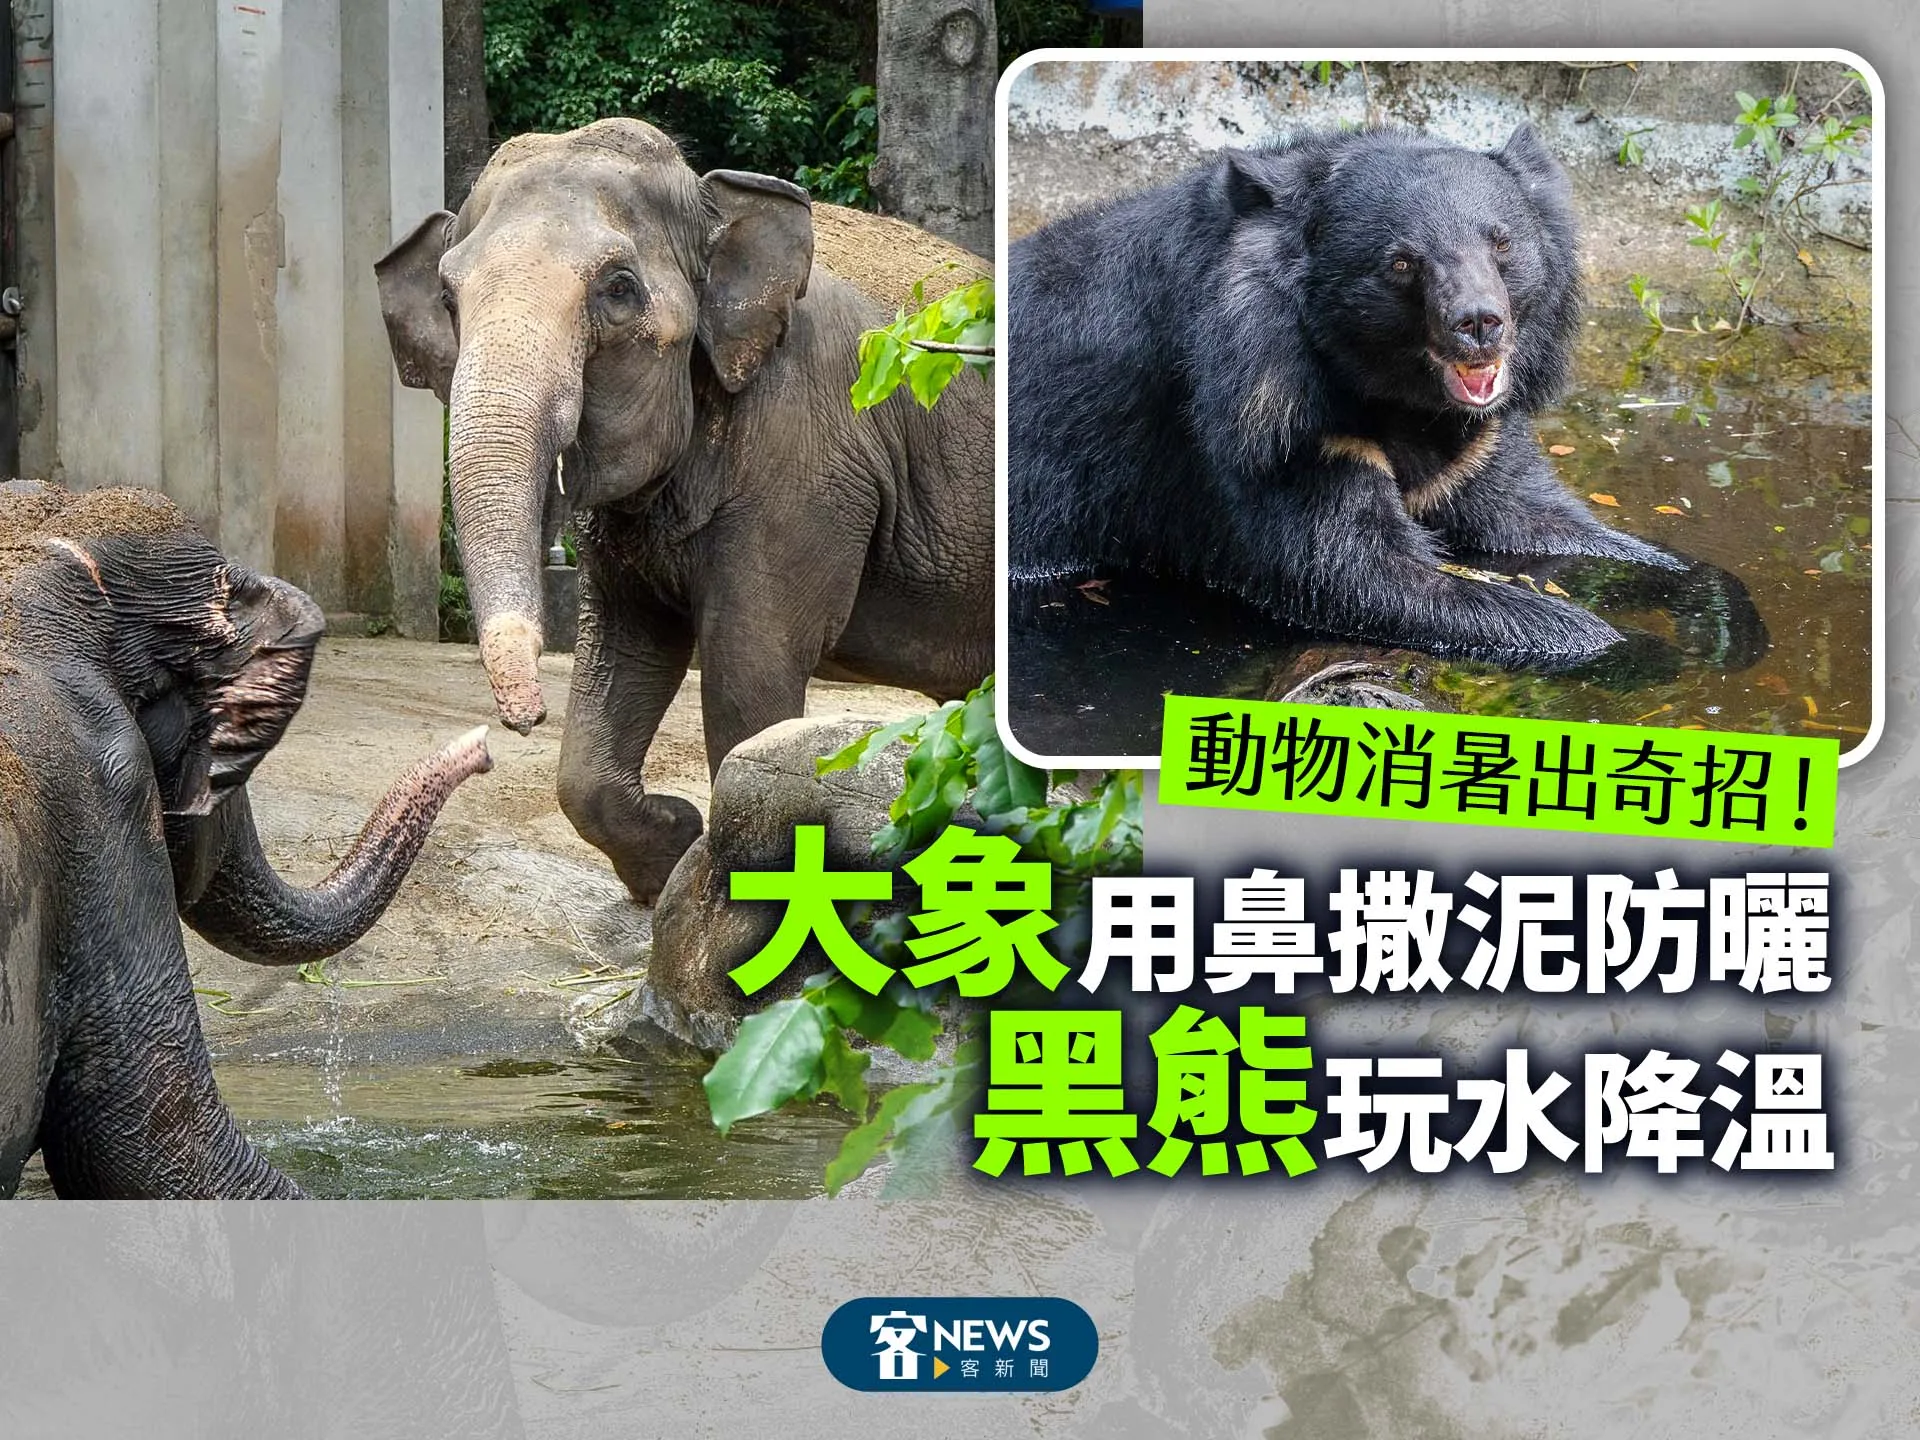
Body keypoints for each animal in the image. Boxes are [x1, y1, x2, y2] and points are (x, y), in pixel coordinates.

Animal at [375, 117, 994, 903]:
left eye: (618, 290)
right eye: (448, 300)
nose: (519, 723)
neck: (711, 199)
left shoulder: (809, 464)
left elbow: (749, 677)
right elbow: (623, 650)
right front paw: (673, 845)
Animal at [1007, 123, 1684, 663]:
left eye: (1502, 243)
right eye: (1402, 263)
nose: (1479, 323)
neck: (1393, 393)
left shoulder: (1477, 441)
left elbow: (1534, 516)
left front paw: (1694, 589)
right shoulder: (1257, 425)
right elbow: (1355, 571)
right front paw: (1627, 645)